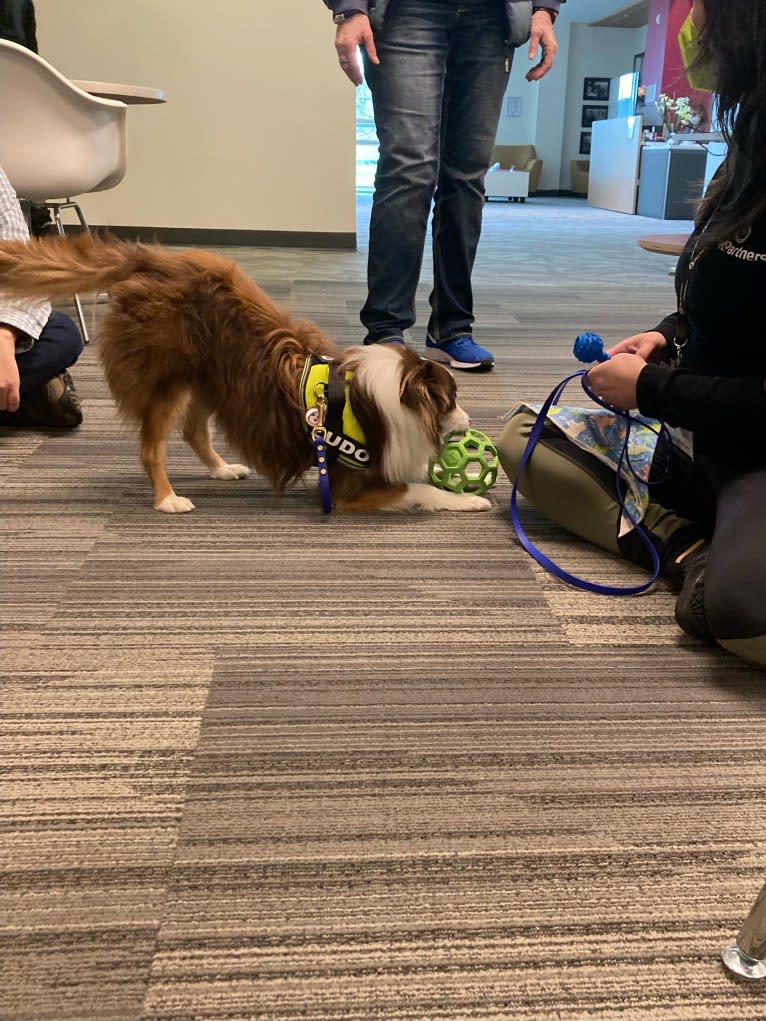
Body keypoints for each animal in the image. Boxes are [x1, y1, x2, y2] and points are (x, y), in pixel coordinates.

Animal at [0, 235, 492, 514]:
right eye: (451, 399)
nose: (471, 422)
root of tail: (151, 261)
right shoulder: (348, 488)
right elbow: (420, 490)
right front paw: (469, 498)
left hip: (210, 378)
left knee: (194, 432)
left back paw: (222, 470)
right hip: (170, 381)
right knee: (152, 449)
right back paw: (167, 500)